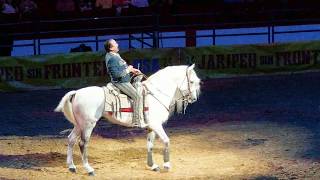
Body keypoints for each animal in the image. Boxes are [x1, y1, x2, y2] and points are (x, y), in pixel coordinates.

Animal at [54, 64, 200, 175]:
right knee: (82, 144)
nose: (193, 99)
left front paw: (152, 166)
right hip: (88, 125)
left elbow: (150, 145)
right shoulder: (157, 125)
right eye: (192, 81)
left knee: (71, 140)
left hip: (79, 125)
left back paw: (72, 167)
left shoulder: (151, 127)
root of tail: (77, 93)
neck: (155, 94)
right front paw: (167, 165)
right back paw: (89, 169)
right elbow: (166, 141)